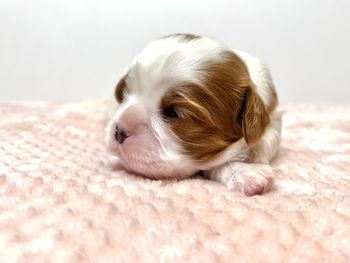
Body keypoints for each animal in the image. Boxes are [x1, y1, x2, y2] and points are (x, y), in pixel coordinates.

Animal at [104, 33, 282, 196]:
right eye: (124, 95)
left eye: (173, 112)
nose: (119, 131)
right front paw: (248, 173)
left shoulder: (274, 120)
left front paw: (249, 163)